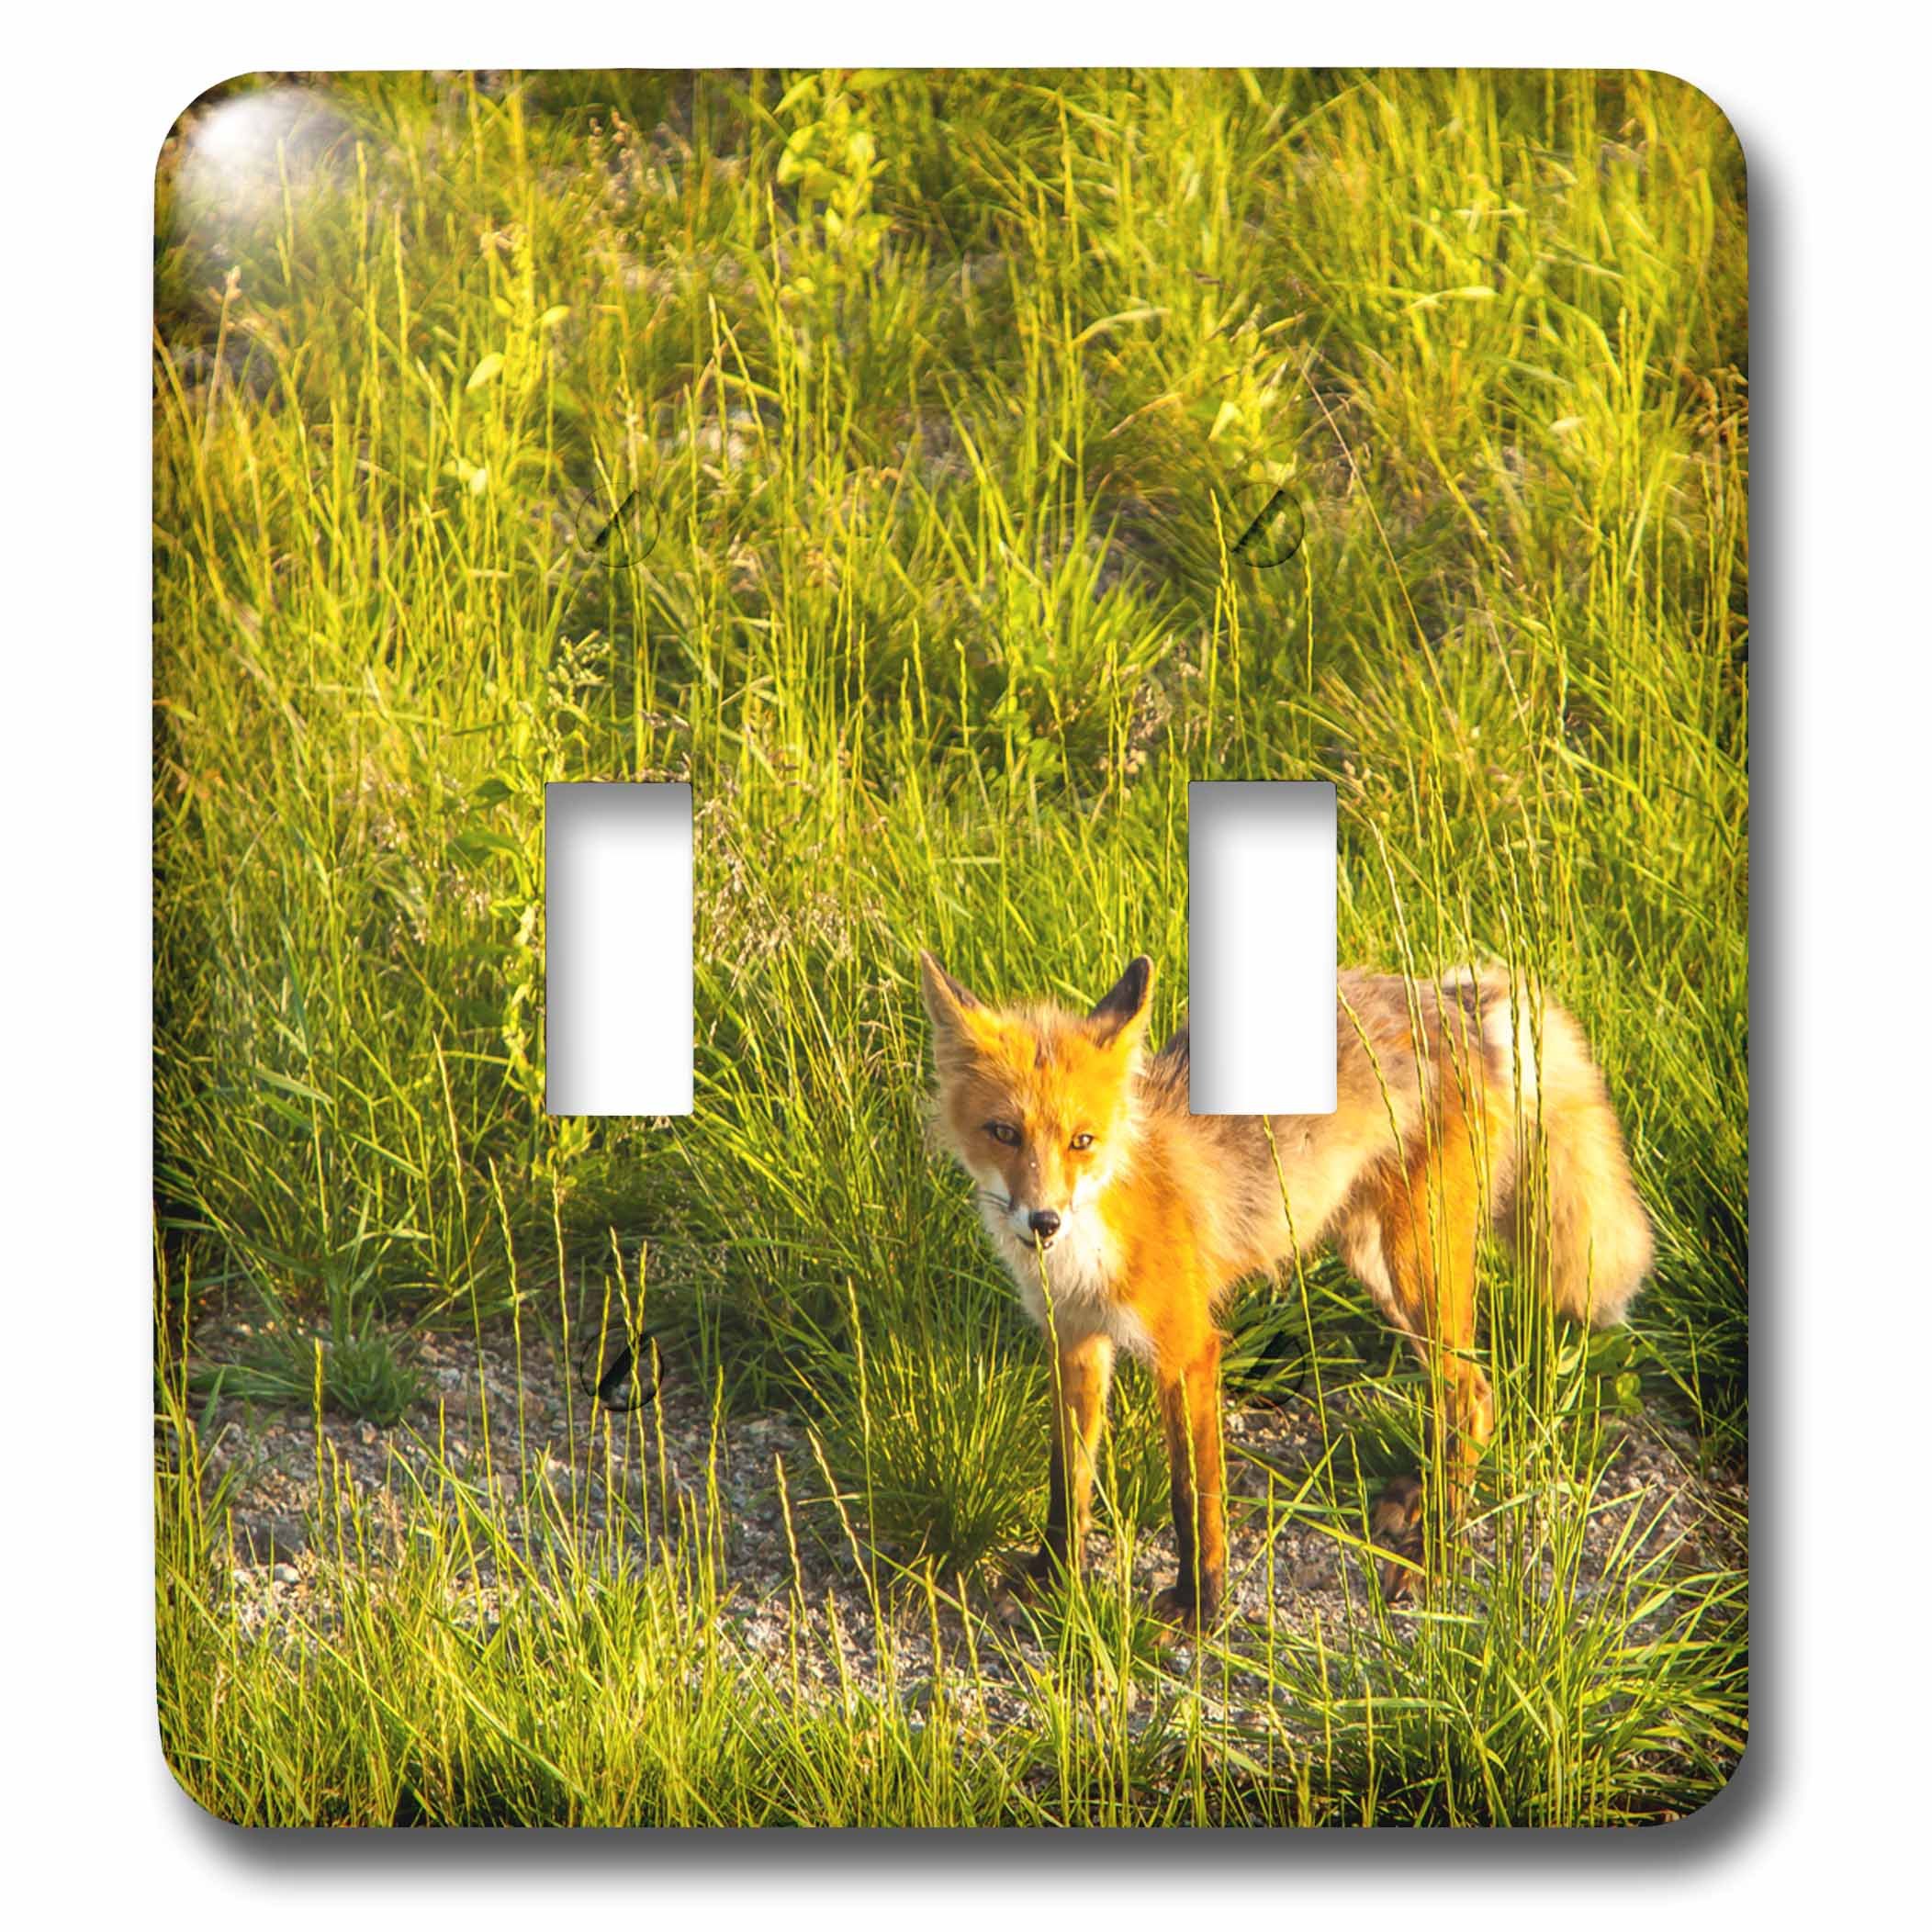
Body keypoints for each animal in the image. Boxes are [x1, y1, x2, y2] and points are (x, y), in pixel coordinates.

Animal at [918, 948, 1652, 1629]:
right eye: (1004, 1133)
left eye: (1081, 1141)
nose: (1043, 1221)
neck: (1086, 1253)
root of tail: (1448, 997)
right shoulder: (1073, 1342)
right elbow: (1067, 1481)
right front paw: (1051, 1577)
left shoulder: (1188, 1350)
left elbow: (1193, 1498)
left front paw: (1200, 1604)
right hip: (1379, 1267)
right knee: (1464, 1397)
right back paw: (1419, 1496)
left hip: (1419, 1262)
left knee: (1471, 1392)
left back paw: (1435, 1555)